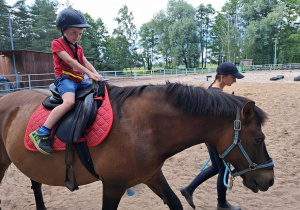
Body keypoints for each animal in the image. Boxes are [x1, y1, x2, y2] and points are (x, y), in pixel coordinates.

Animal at [0, 83, 274, 209]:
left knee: (36, 184)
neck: (141, 128)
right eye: (259, 139)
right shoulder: (113, 185)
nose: (269, 179)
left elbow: (175, 202)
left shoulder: (152, 176)